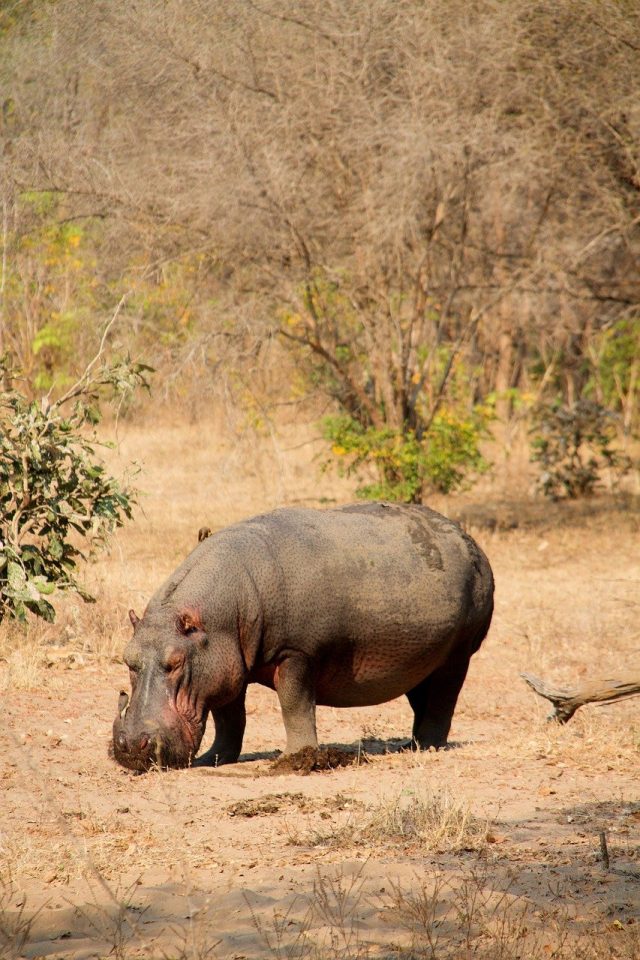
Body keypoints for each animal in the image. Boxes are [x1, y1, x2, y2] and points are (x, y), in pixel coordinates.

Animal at [112, 502, 494, 771]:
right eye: (127, 659)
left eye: (175, 662)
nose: (131, 747)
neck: (220, 613)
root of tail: (472, 542)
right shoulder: (224, 665)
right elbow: (229, 718)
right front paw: (213, 760)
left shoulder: (295, 653)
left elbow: (294, 705)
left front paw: (296, 760)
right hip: (423, 658)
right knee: (422, 697)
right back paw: (409, 746)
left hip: (458, 654)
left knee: (444, 698)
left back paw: (427, 746)